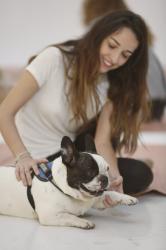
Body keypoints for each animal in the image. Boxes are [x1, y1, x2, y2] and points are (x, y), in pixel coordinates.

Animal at [0, 136, 137, 228]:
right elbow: (69, 216)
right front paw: (83, 222)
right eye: (90, 172)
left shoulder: (97, 200)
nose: (105, 178)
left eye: (107, 169)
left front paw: (128, 198)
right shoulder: (50, 215)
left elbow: (111, 194)